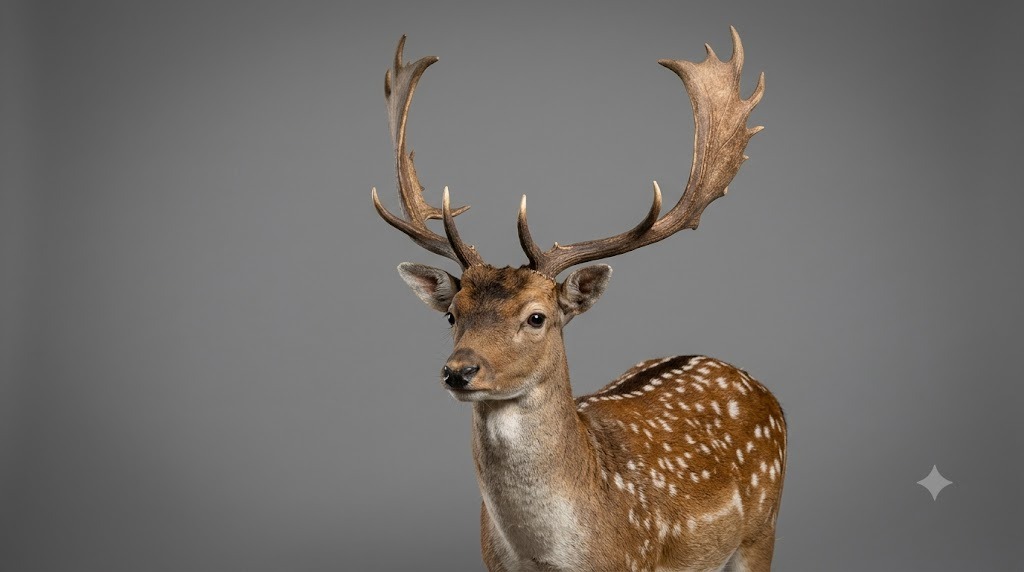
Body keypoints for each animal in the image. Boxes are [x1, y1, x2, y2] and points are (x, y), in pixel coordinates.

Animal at [371, 28, 786, 572]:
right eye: (451, 314)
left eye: (537, 317)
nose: (459, 370)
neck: (549, 555)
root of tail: (758, 387)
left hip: (762, 529)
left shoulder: (635, 560)